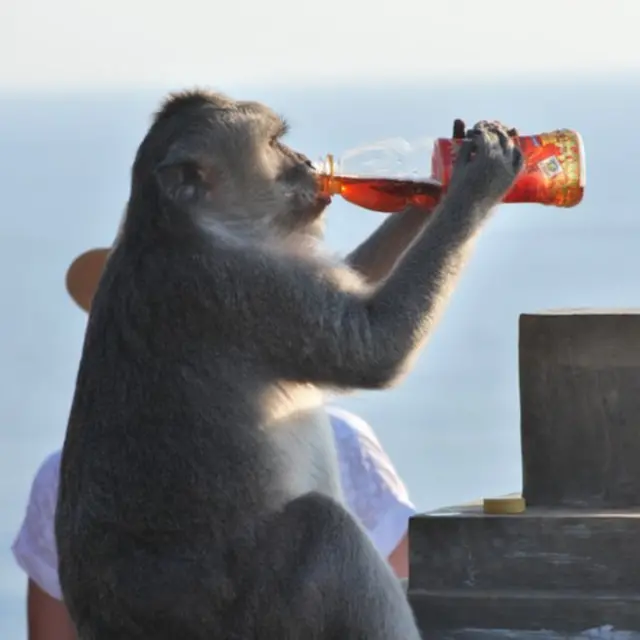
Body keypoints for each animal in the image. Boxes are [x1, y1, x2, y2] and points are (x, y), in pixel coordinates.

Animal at [55, 89, 523, 640]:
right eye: (275, 143)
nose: (306, 162)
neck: (196, 227)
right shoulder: (240, 288)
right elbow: (373, 346)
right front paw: (476, 177)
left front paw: (424, 193)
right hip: (261, 613)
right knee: (325, 528)